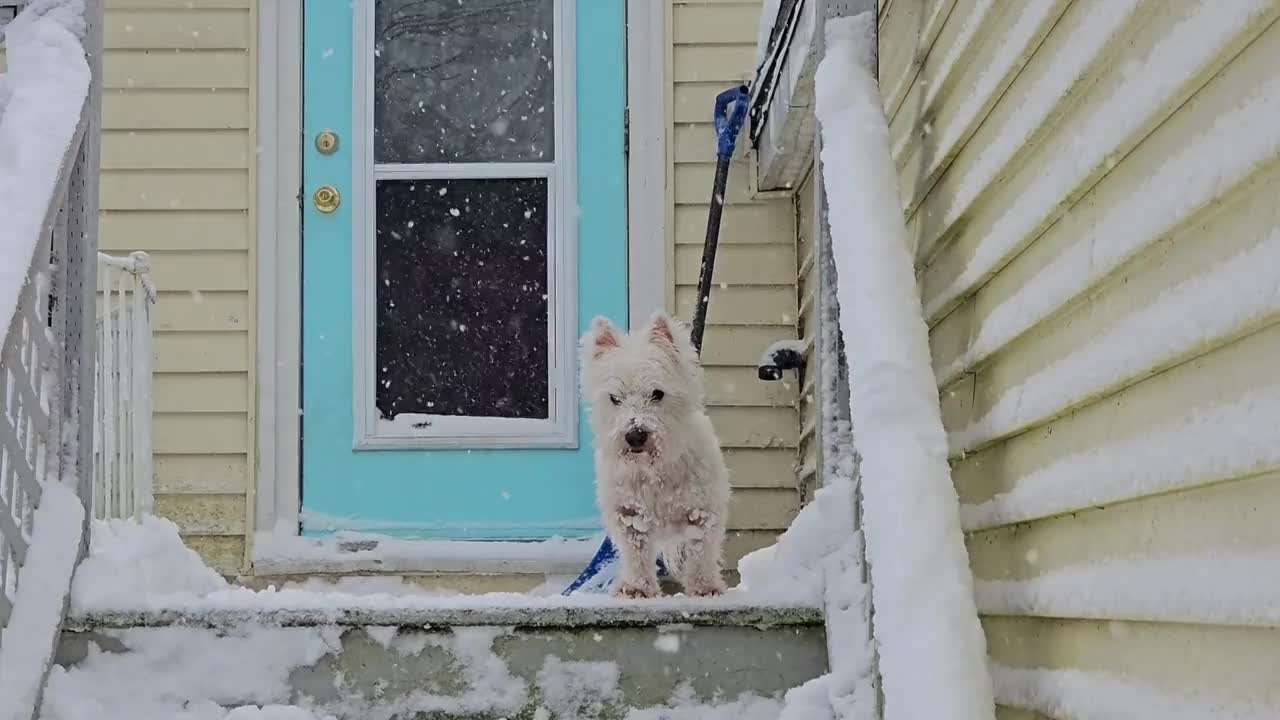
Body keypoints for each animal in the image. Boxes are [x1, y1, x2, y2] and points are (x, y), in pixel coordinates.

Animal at [581, 308, 732, 594]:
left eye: (657, 394)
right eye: (614, 398)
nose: (635, 435)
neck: (654, 470)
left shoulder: (703, 510)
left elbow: (701, 550)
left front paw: (704, 587)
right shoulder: (628, 514)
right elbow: (636, 553)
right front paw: (637, 588)